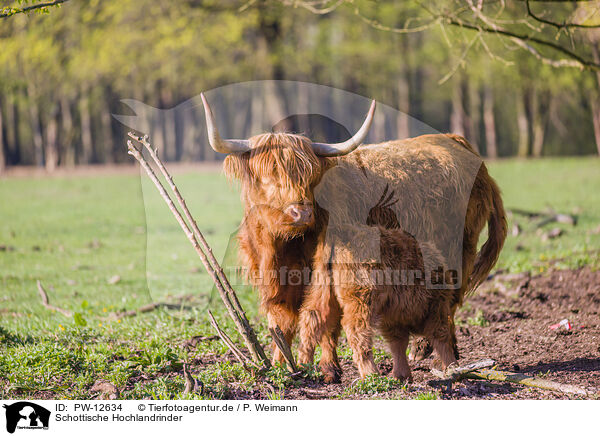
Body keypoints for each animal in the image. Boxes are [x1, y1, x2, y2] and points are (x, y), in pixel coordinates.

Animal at [202, 93, 506, 380]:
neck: (283, 247)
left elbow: (325, 319)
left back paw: (435, 353)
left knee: (450, 303)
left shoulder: (327, 269)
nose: (302, 212)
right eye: (267, 175)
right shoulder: (277, 280)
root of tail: (457, 141)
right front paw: (282, 365)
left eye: (309, 177)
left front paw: (327, 369)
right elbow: (283, 322)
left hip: (462, 247)